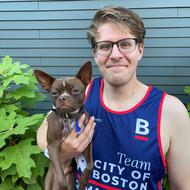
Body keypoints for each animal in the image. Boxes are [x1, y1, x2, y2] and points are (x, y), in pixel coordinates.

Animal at [34, 61, 94, 190]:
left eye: (75, 90)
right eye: (54, 93)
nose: (62, 98)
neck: (68, 117)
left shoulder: (87, 143)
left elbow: (91, 164)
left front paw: (83, 181)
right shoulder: (52, 146)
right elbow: (61, 178)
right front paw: (62, 185)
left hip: (70, 178)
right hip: (49, 180)